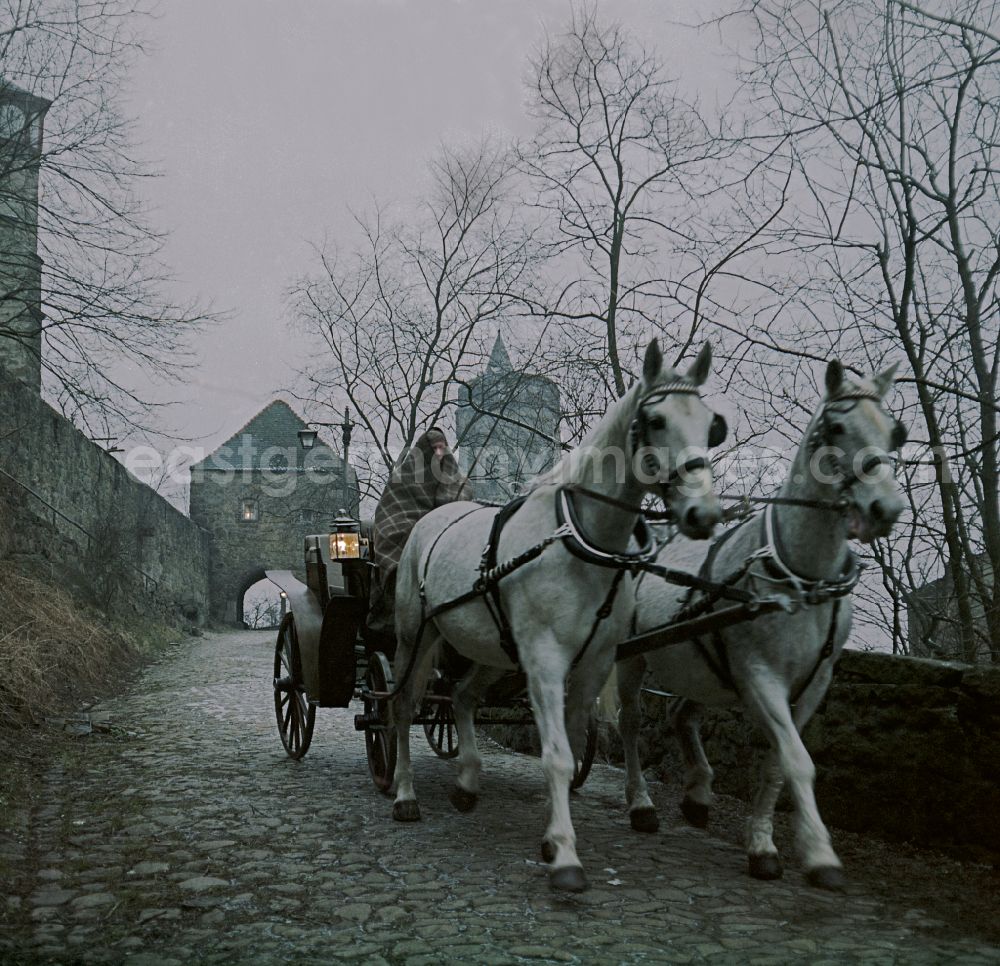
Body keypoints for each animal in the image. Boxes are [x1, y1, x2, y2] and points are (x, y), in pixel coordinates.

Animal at [390, 338, 728, 892]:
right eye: (654, 420)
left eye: (709, 423)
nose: (704, 514)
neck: (581, 540)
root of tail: (432, 518)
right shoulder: (546, 660)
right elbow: (556, 755)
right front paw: (566, 855)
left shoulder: (591, 663)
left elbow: (570, 746)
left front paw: (553, 836)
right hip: (413, 638)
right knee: (400, 707)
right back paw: (403, 794)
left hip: (492, 652)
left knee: (461, 697)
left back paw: (467, 781)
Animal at [616, 362, 908, 892]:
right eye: (837, 427)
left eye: (896, 431)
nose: (886, 508)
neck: (802, 577)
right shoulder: (760, 675)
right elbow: (796, 760)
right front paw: (813, 852)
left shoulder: (813, 683)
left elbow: (777, 763)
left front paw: (765, 841)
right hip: (632, 656)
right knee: (630, 723)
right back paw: (641, 803)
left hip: (703, 668)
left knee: (681, 714)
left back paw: (697, 793)